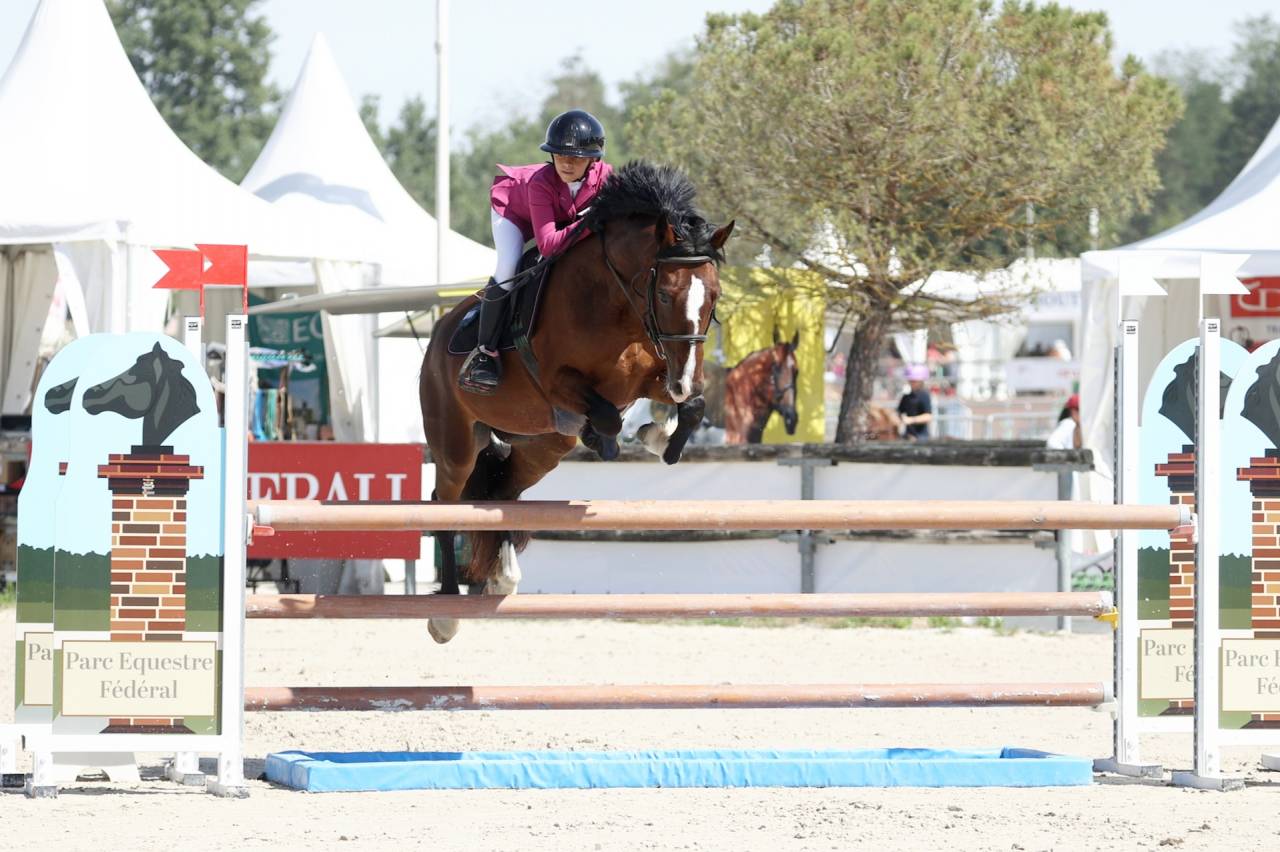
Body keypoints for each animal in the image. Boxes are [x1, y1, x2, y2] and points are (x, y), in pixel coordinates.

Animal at [419, 161, 734, 643]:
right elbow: (606, 416)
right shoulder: (558, 383)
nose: (687, 380)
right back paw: (446, 614)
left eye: (714, 296)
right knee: (445, 503)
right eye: (665, 295)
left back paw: (501, 577)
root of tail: (437, 339)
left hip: (542, 446)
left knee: (503, 490)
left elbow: (692, 408)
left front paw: (657, 436)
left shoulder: (650, 377)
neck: (616, 305)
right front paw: (608, 437)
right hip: (455, 443)